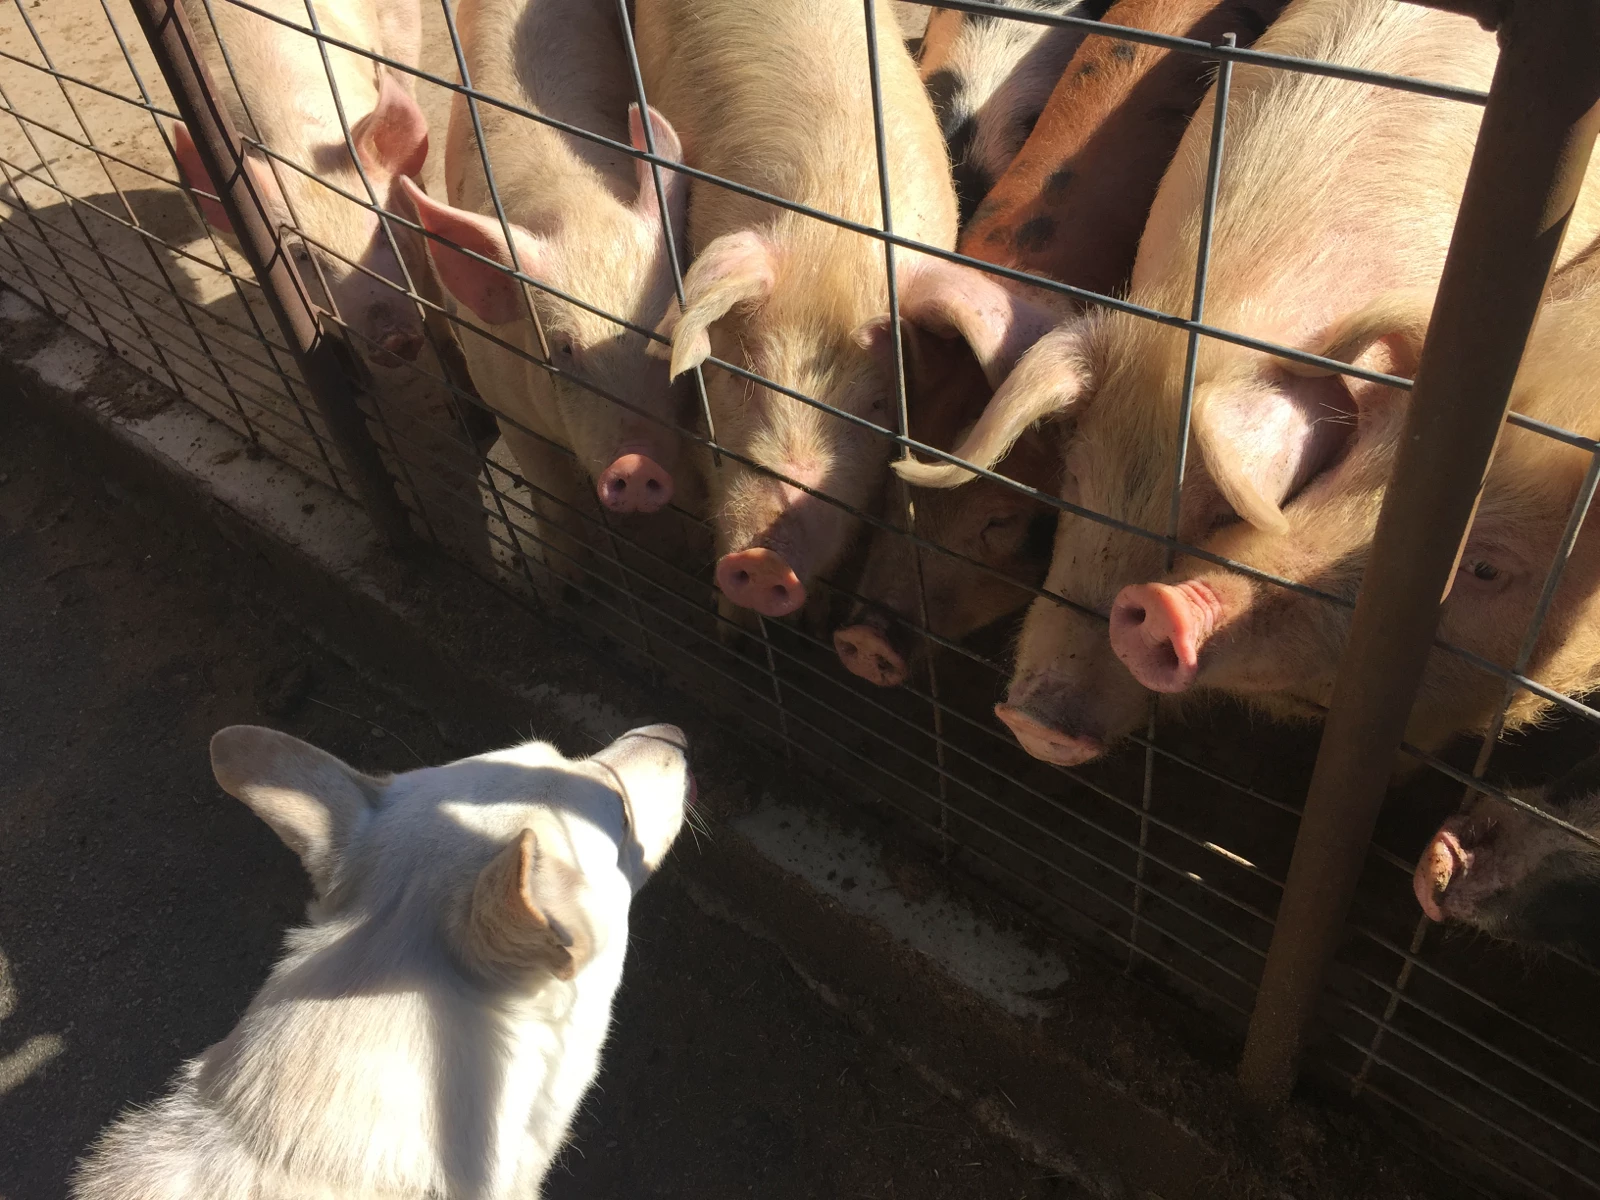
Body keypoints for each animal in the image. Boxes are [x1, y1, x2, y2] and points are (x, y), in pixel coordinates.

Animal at [398, 0, 691, 583]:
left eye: (668, 341)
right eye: (563, 349)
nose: (636, 466)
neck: (574, 205)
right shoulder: (505, 398)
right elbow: (554, 498)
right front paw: (567, 584)